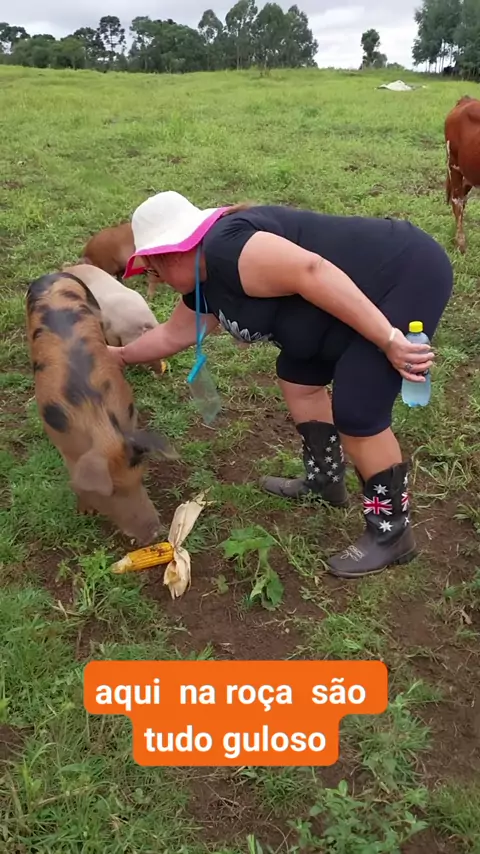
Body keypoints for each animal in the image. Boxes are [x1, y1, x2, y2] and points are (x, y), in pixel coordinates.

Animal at [26, 270, 178, 546]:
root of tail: (52, 274)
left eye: (139, 478)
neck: (94, 418)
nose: (155, 532)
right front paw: (85, 512)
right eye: (112, 491)